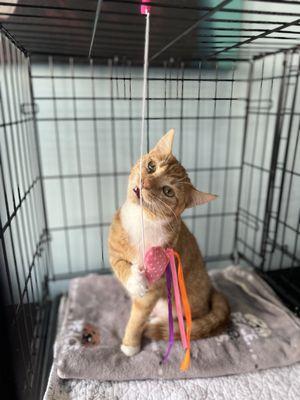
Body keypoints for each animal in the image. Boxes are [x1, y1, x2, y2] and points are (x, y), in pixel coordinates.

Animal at [108, 129, 230, 356]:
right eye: (151, 166)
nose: (145, 183)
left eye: (168, 191)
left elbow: (138, 316)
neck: (142, 221)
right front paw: (134, 281)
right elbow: (121, 265)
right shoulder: (113, 251)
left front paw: (130, 343)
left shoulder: (154, 285)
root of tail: (212, 290)